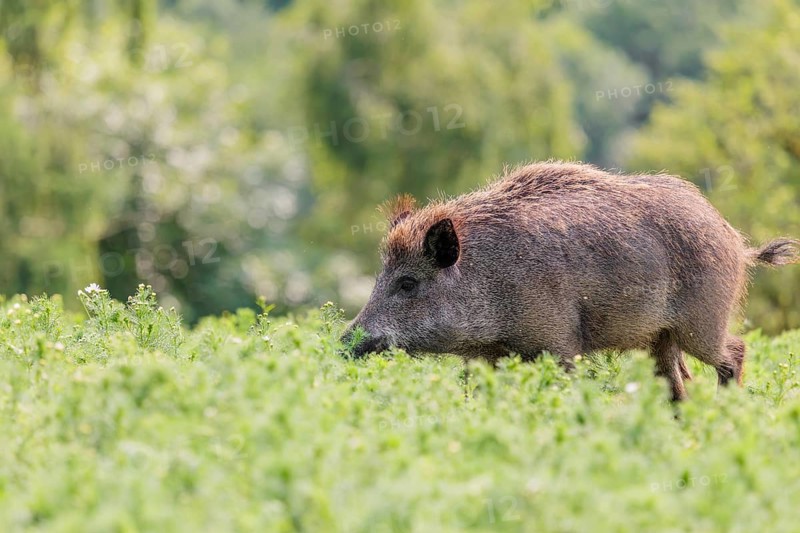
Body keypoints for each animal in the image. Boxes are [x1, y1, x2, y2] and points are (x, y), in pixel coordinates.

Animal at [341, 162, 799, 400]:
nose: (344, 341)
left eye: (407, 283)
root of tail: (736, 241)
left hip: (701, 322)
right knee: (674, 384)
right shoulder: (484, 356)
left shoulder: (558, 342)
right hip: (659, 338)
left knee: (735, 351)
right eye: (381, 276)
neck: (490, 277)